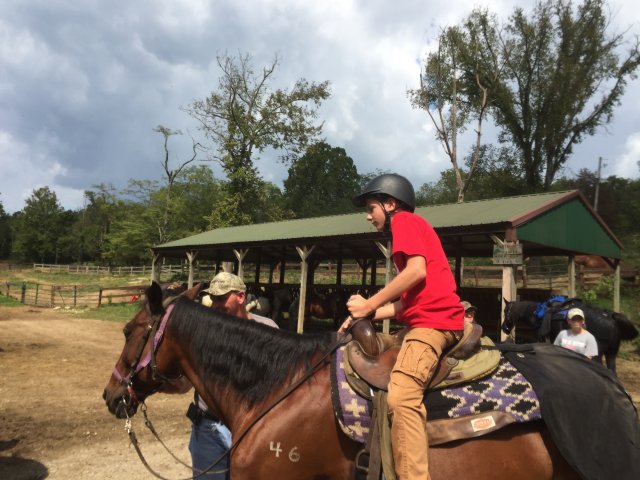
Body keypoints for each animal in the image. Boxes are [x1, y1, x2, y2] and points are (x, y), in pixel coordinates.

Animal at [502, 300, 636, 372]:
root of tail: (612, 319)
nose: (504, 327)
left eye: (505, 311)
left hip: (597, 355)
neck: (537, 315)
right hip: (611, 354)